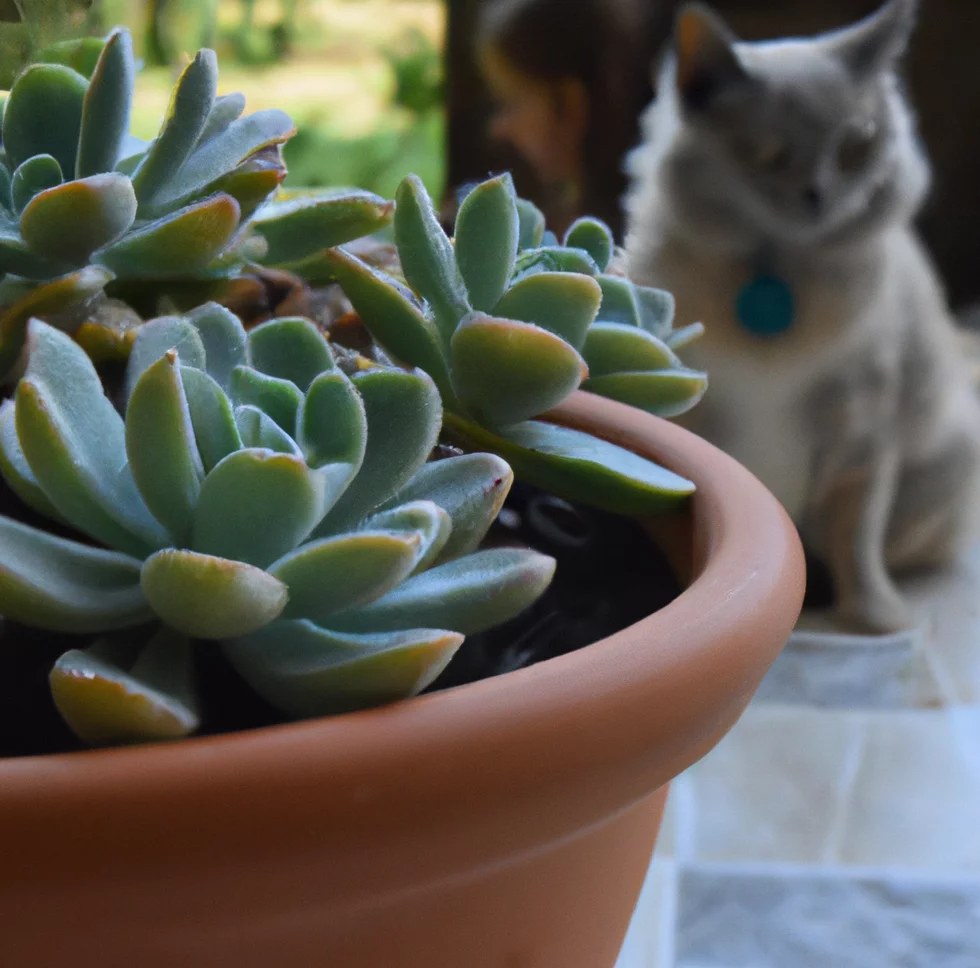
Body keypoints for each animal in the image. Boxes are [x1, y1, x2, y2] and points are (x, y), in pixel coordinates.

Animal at [624, 0, 980, 636]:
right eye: (765, 153)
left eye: (856, 146)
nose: (818, 196)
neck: (775, 270)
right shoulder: (705, 413)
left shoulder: (861, 428)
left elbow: (857, 537)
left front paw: (876, 621)